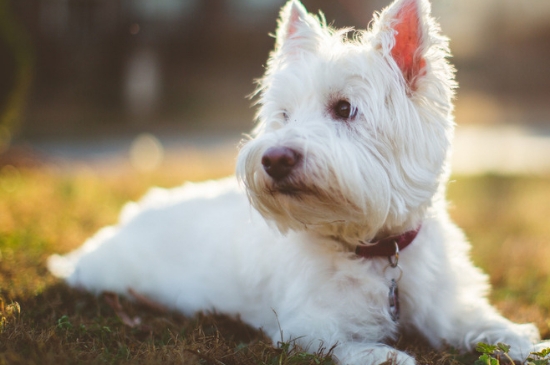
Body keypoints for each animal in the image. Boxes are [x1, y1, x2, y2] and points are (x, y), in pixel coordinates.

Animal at [50, 0, 548, 362]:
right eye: (284, 115)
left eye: (344, 108)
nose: (274, 159)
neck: (375, 249)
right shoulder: (307, 327)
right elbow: (364, 348)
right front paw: (394, 354)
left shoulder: (448, 306)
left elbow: (489, 325)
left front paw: (528, 342)